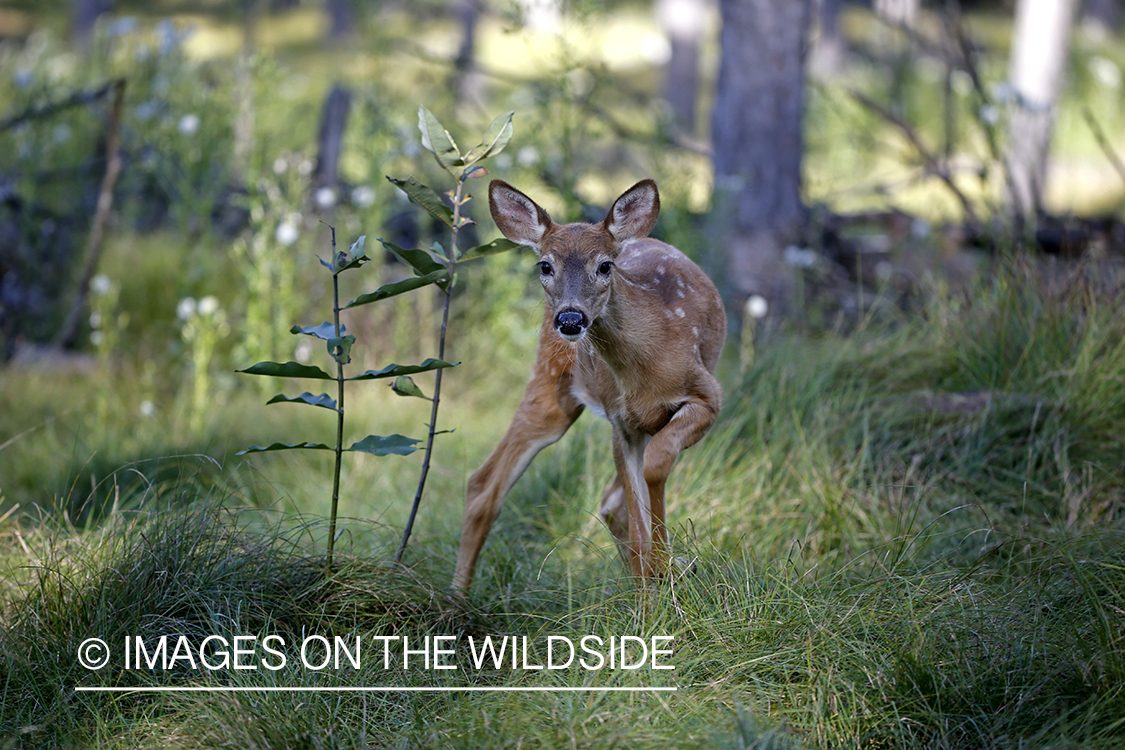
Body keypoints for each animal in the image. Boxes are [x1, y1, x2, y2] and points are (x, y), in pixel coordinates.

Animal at [452, 179, 726, 594]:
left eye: (605, 265)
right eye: (545, 265)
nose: (570, 318)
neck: (646, 366)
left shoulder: (707, 396)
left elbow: (655, 467)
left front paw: (663, 570)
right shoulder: (621, 422)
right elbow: (639, 505)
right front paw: (657, 579)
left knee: (606, 502)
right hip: (551, 383)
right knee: (484, 484)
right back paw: (454, 599)